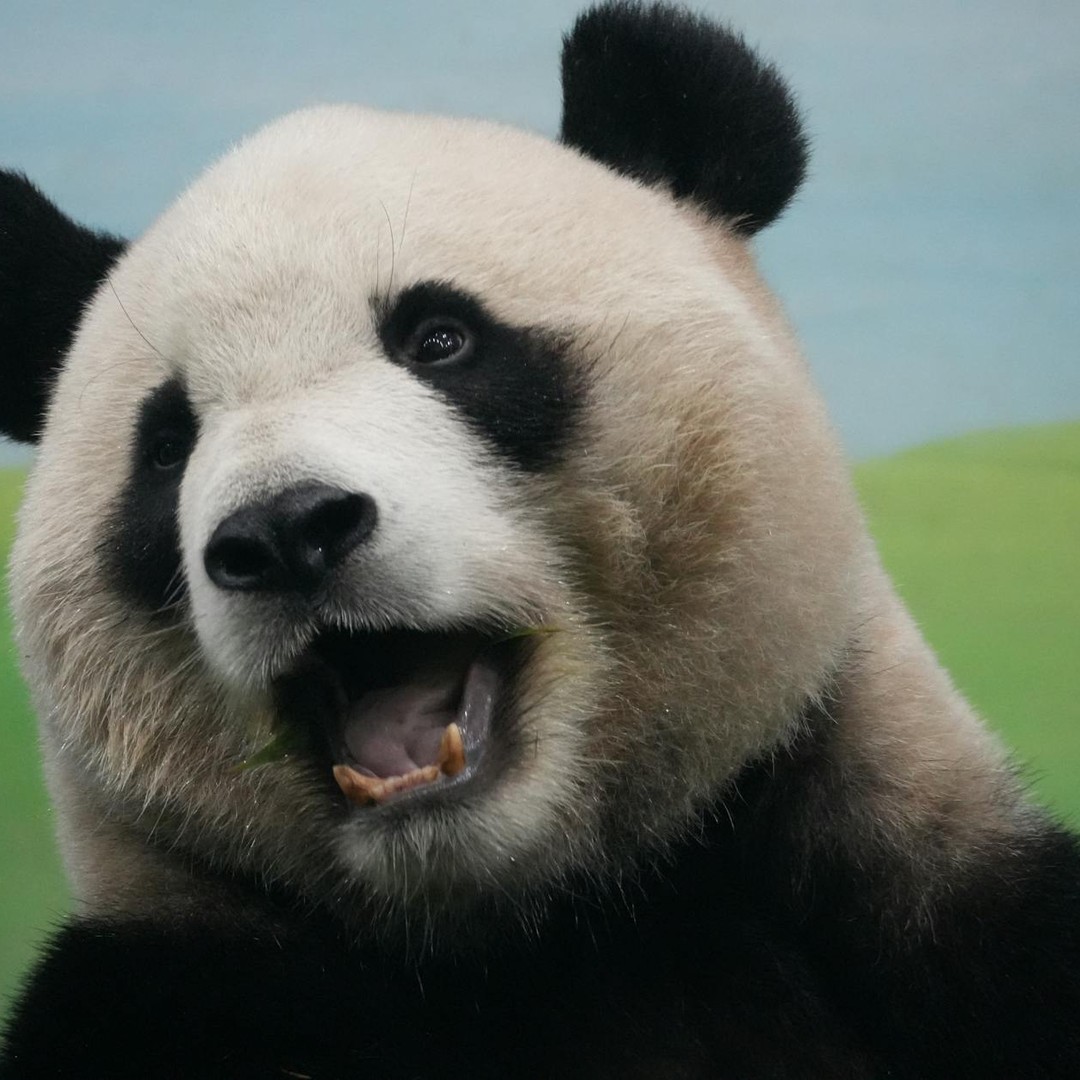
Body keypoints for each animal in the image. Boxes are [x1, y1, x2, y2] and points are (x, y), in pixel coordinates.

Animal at [1, 3, 1078, 1077]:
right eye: (167, 444)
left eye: (440, 339)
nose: (286, 529)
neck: (545, 917)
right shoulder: (177, 985)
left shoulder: (931, 892)